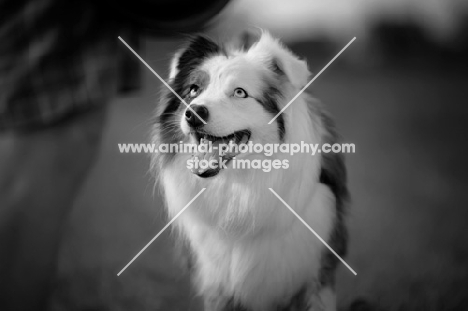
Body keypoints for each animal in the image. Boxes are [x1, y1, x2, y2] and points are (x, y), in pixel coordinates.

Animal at [150, 31, 348, 311]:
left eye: (239, 92)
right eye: (193, 89)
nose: (193, 113)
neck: (240, 184)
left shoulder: (315, 271)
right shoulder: (217, 282)